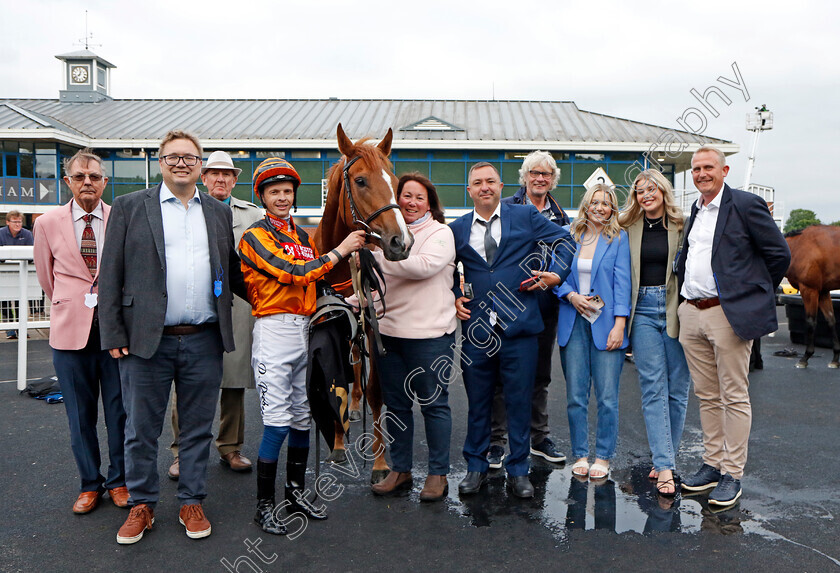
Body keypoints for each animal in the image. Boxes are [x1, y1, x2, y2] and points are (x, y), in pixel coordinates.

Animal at [312, 122, 414, 482]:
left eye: (395, 182)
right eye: (360, 181)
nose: (401, 242)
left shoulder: (371, 322)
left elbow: (375, 391)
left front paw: (381, 464)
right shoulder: (331, 320)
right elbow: (336, 378)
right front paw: (338, 444)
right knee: (354, 362)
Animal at [784, 223, 840, 366]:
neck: (798, 247)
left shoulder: (809, 290)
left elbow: (810, 321)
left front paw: (806, 357)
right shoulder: (823, 292)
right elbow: (831, 320)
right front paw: (835, 358)